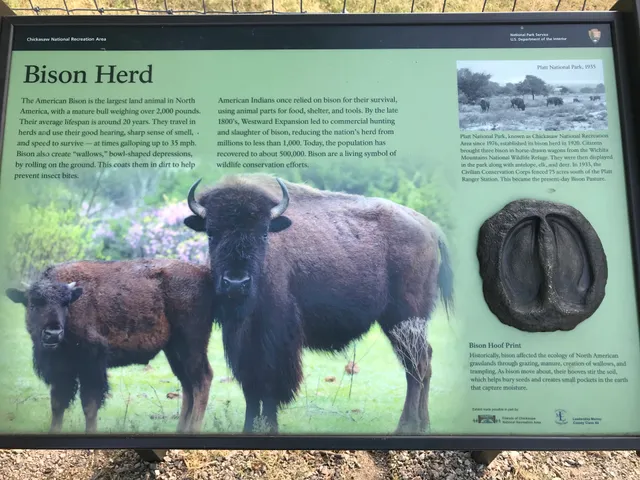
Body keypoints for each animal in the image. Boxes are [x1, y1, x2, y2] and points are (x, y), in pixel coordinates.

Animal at [5, 258, 215, 434]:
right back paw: (181, 430)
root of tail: (203, 273)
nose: (53, 333)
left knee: (202, 379)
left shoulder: (92, 365)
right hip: (174, 350)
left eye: (65, 304)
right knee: (188, 385)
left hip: (191, 345)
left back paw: (194, 429)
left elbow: (89, 405)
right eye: (33, 304)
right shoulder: (61, 370)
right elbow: (57, 405)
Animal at [183, 174, 454, 435]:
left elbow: (270, 385)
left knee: (417, 365)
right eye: (211, 233)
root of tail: (430, 228)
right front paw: (248, 428)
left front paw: (270, 426)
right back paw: (423, 424)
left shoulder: (277, 339)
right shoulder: (242, 340)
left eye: (263, 233)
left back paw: (407, 426)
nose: (236, 283)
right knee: (423, 362)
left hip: (404, 318)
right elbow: (251, 387)